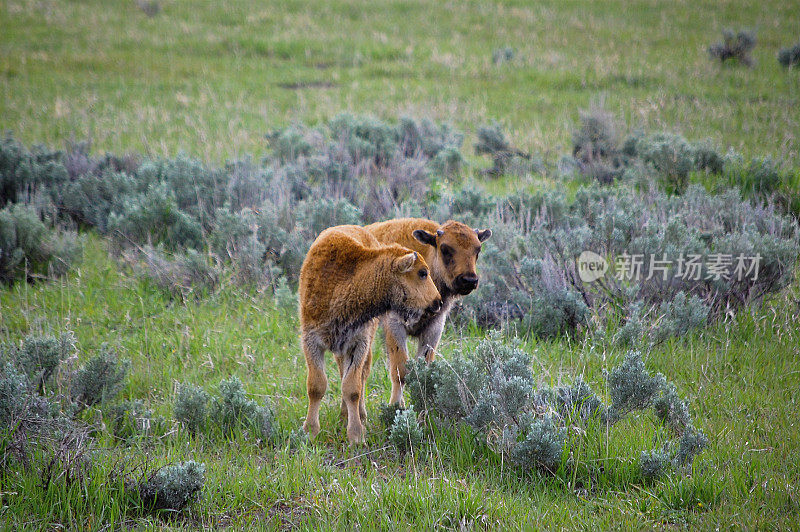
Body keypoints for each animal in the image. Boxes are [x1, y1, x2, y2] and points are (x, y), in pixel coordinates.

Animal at [298, 224, 440, 444]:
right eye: (422, 273)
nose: (438, 302)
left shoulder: (359, 343)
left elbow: (352, 387)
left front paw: (356, 435)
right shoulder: (311, 341)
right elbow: (317, 386)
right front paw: (309, 432)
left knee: (360, 376)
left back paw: (357, 416)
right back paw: (344, 416)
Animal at [366, 218, 490, 406]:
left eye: (478, 249)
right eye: (445, 248)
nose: (468, 280)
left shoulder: (434, 327)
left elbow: (423, 368)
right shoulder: (395, 325)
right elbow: (400, 370)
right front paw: (396, 406)